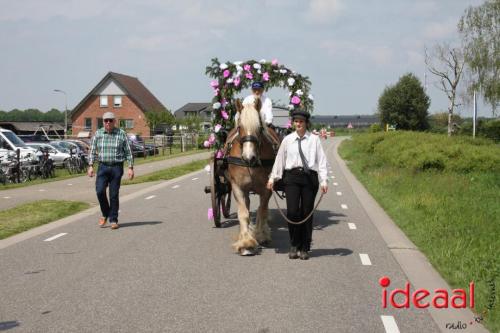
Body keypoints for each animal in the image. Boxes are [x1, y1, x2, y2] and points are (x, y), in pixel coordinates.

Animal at [225, 98, 280, 254]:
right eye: (239, 127)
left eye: (259, 127)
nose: (249, 157)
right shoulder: (237, 187)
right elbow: (243, 213)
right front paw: (246, 242)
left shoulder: (266, 189)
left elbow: (262, 211)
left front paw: (260, 235)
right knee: (247, 204)